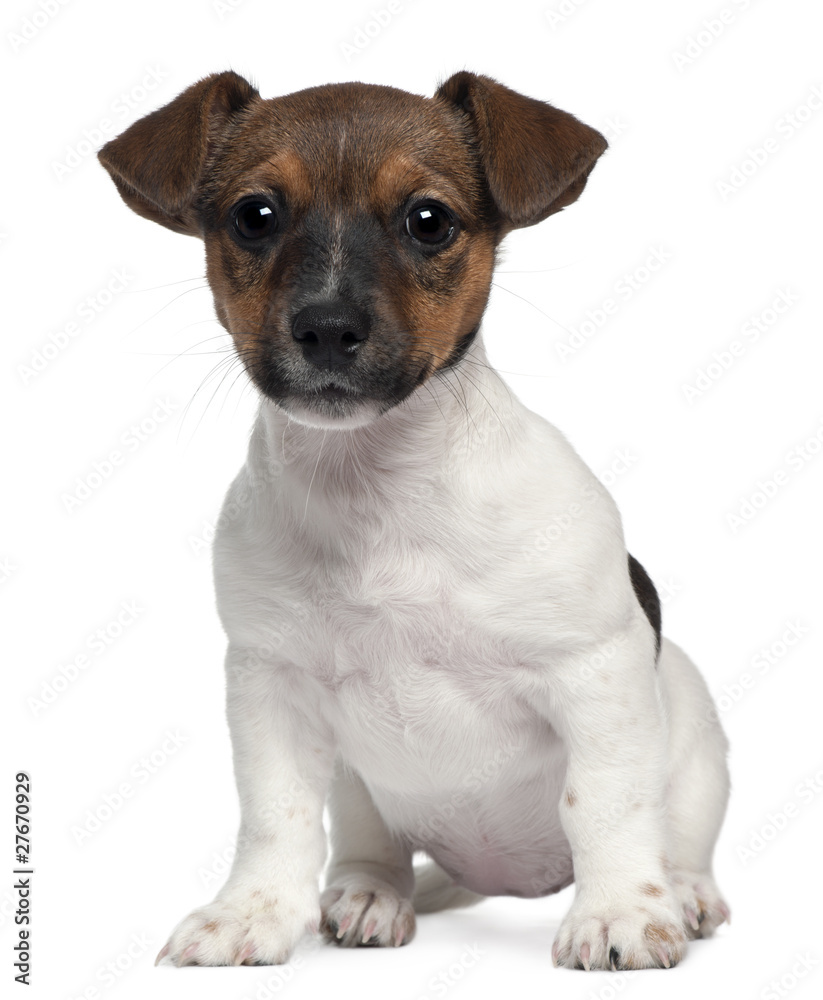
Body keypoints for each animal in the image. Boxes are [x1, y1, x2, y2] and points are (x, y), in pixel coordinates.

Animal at [100, 68, 732, 968]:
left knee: (675, 839)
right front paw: (249, 913)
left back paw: (682, 892)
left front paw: (615, 913)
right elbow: (275, 817)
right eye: (253, 215)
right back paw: (368, 895)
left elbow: (603, 804)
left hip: (692, 736)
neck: (377, 492)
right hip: (358, 789)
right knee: (371, 845)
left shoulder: (594, 673)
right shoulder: (269, 688)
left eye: (428, 221)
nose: (327, 327)